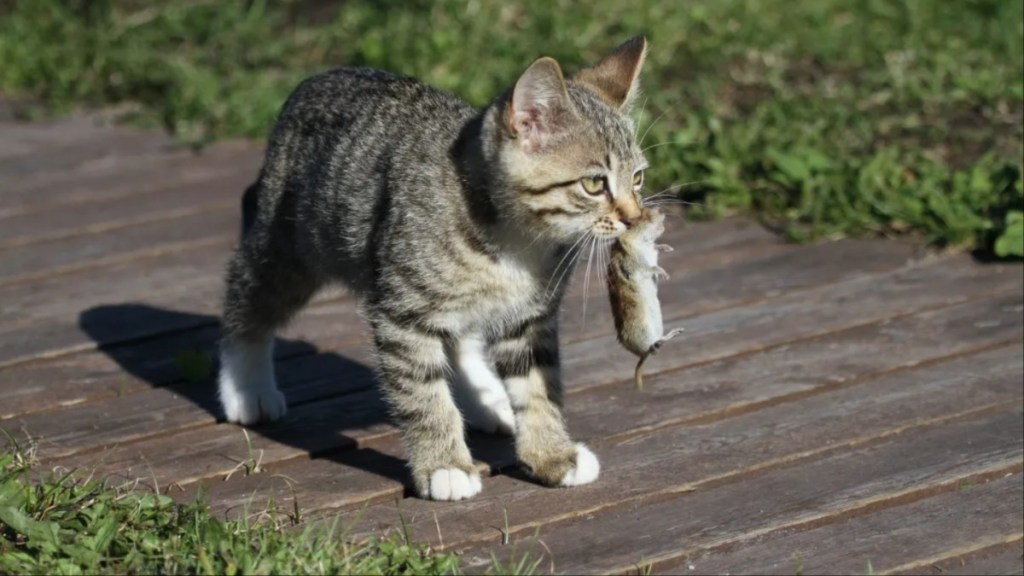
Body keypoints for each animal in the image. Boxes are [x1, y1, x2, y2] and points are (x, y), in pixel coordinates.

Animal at [218, 35, 647, 498]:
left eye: (638, 179)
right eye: (594, 184)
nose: (634, 217)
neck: (515, 241)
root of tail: (317, 79)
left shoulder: (530, 317)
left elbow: (537, 386)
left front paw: (552, 455)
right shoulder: (401, 311)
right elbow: (423, 393)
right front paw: (445, 466)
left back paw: (485, 398)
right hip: (291, 246)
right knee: (249, 292)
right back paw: (246, 386)